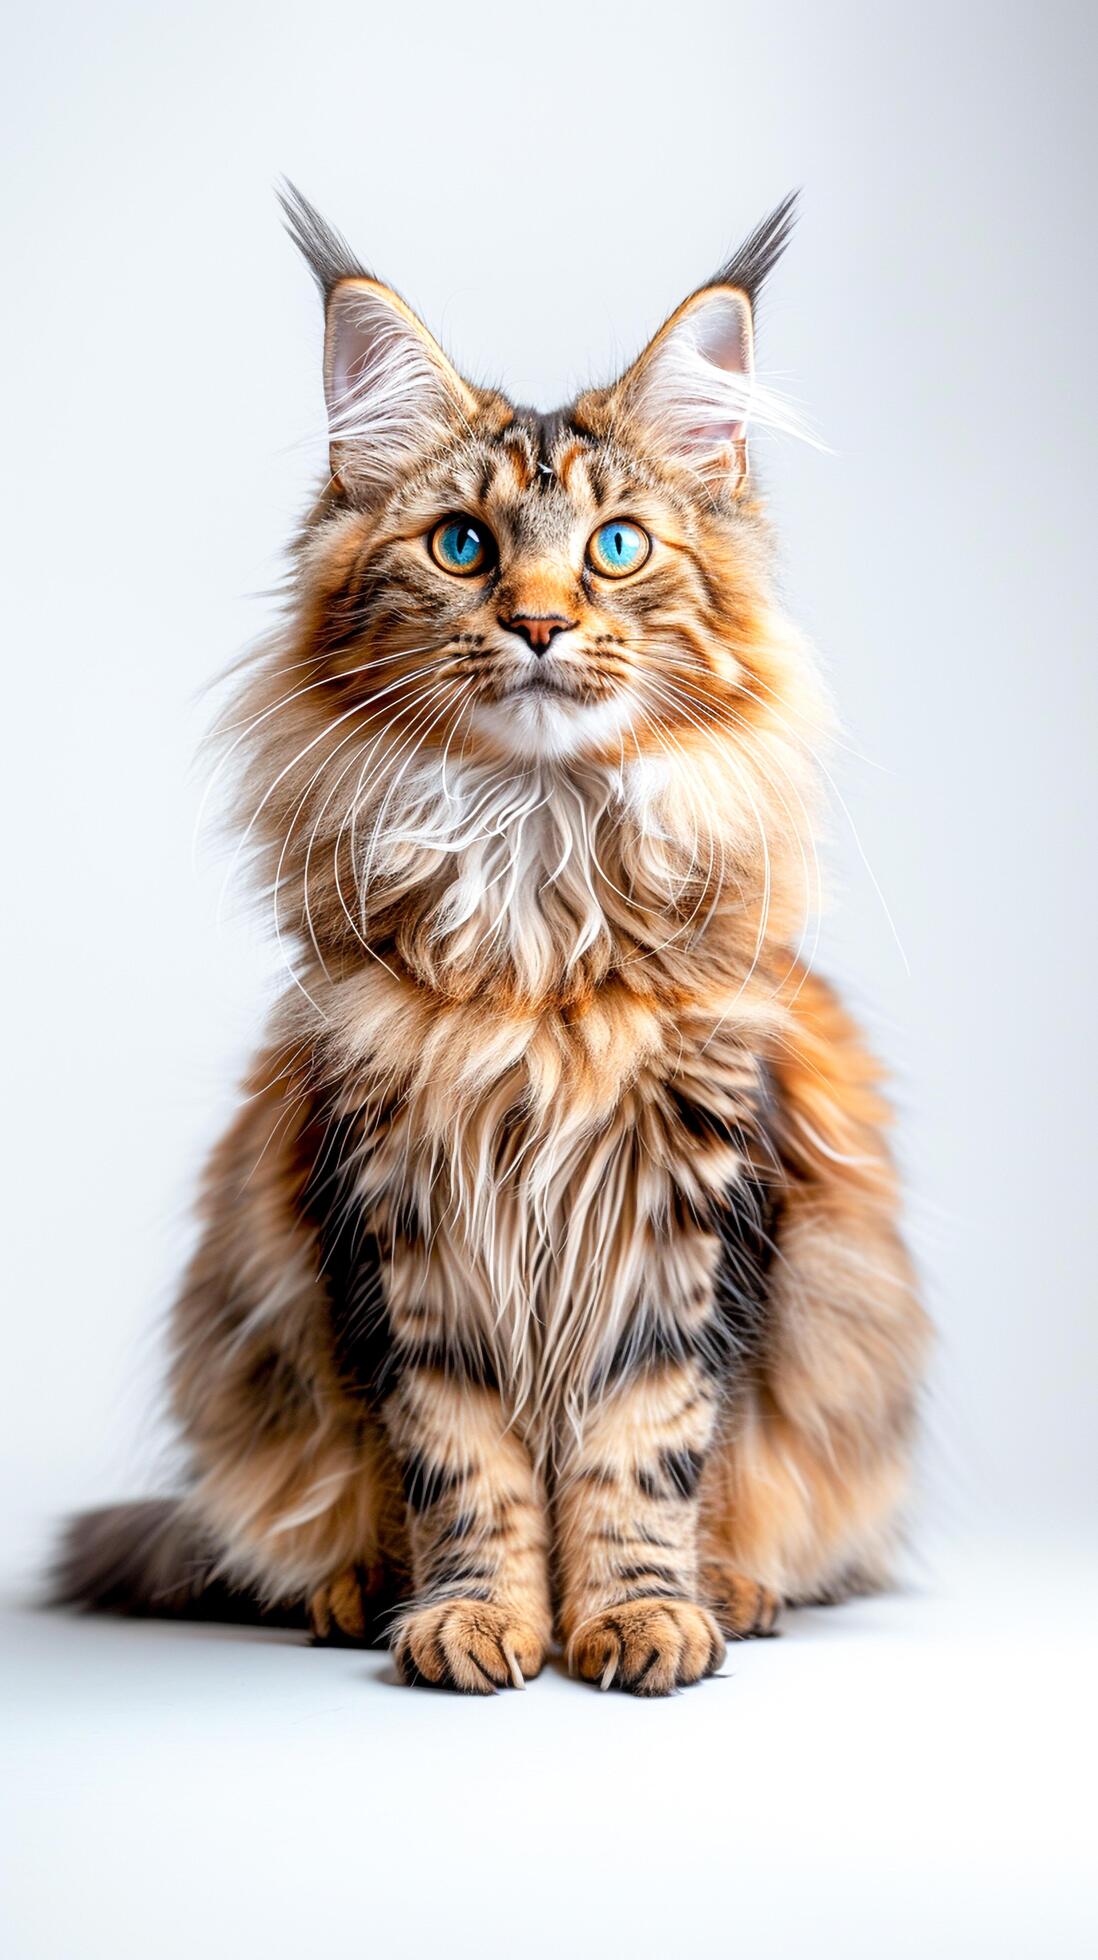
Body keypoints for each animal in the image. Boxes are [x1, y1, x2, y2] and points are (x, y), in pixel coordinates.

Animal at [51, 191, 925, 1693]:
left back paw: (738, 1590)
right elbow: (460, 1463)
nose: (537, 620)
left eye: (617, 547)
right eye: (460, 545)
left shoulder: (694, 1214)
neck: (538, 887)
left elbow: (648, 1451)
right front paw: (473, 1617)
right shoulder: (394, 1218)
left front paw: (640, 1613)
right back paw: (354, 1590)